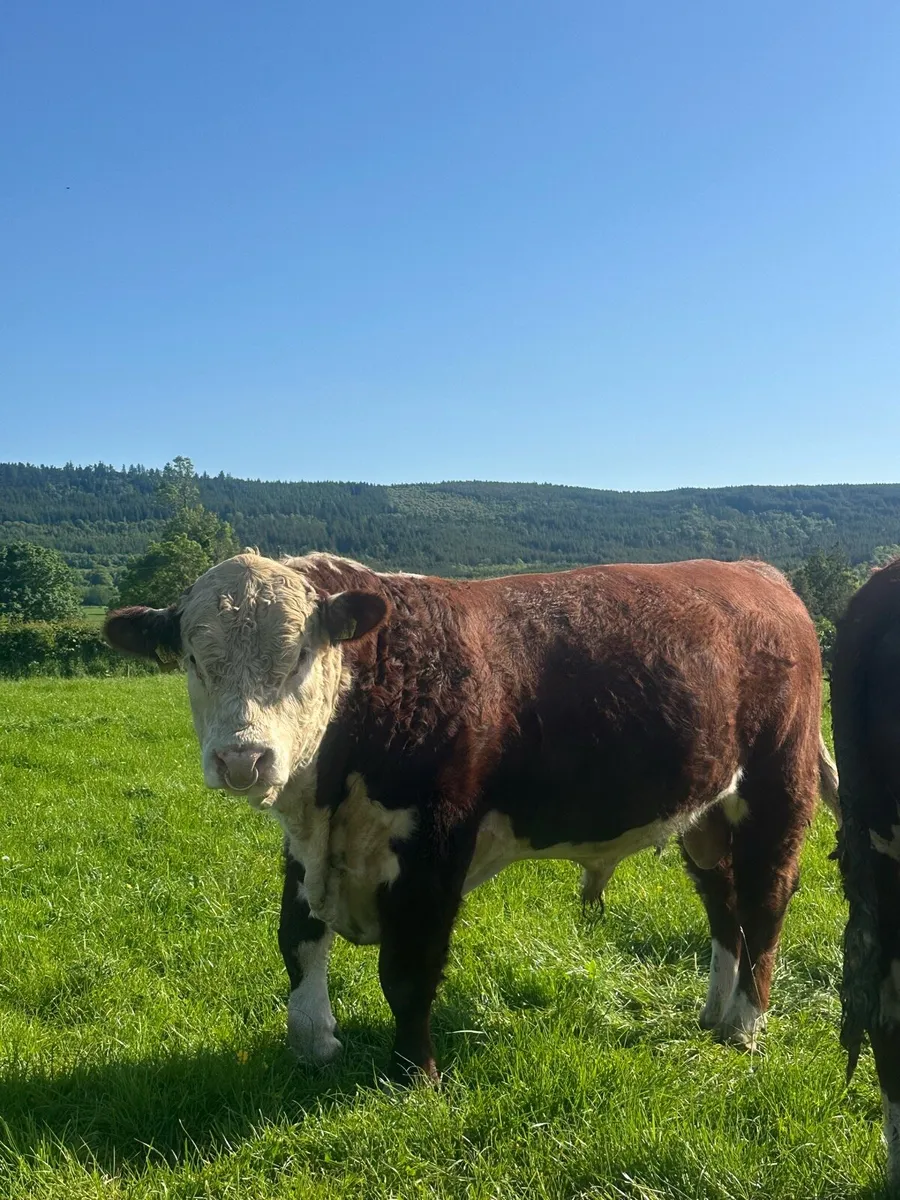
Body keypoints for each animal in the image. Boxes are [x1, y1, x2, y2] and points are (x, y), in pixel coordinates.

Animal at [104, 551, 836, 1083]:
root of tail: (756, 573)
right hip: (705, 812)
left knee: (766, 899)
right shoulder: (307, 845)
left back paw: (745, 1026)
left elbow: (408, 970)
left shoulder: (435, 847)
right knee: (723, 902)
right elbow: (298, 941)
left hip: (778, 784)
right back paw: (714, 1012)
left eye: (301, 657)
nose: (243, 759)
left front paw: (414, 1076)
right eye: (194, 659)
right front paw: (313, 1043)